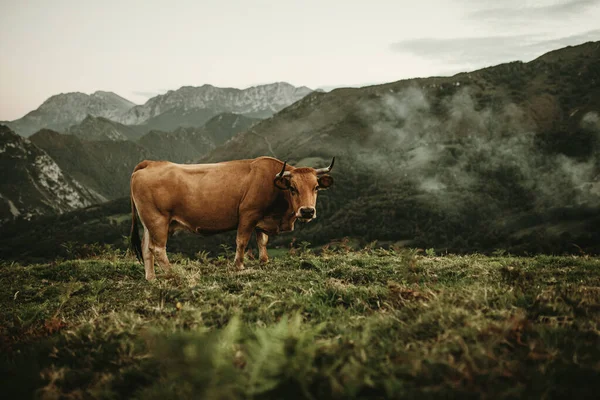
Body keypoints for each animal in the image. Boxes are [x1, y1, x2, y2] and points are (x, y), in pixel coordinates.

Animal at [130, 155, 332, 280]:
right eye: (292, 188)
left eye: (316, 187)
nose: (307, 211)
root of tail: (151, 163)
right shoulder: (248, 214)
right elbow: (242, 241)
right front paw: (239, 266)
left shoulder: (260, 220)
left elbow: (262, 241)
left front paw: (264, 261)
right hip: (158, 220)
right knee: (157, 249)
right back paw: (174, 274)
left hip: (150, 222)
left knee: (146, 248)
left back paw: (151, 278)